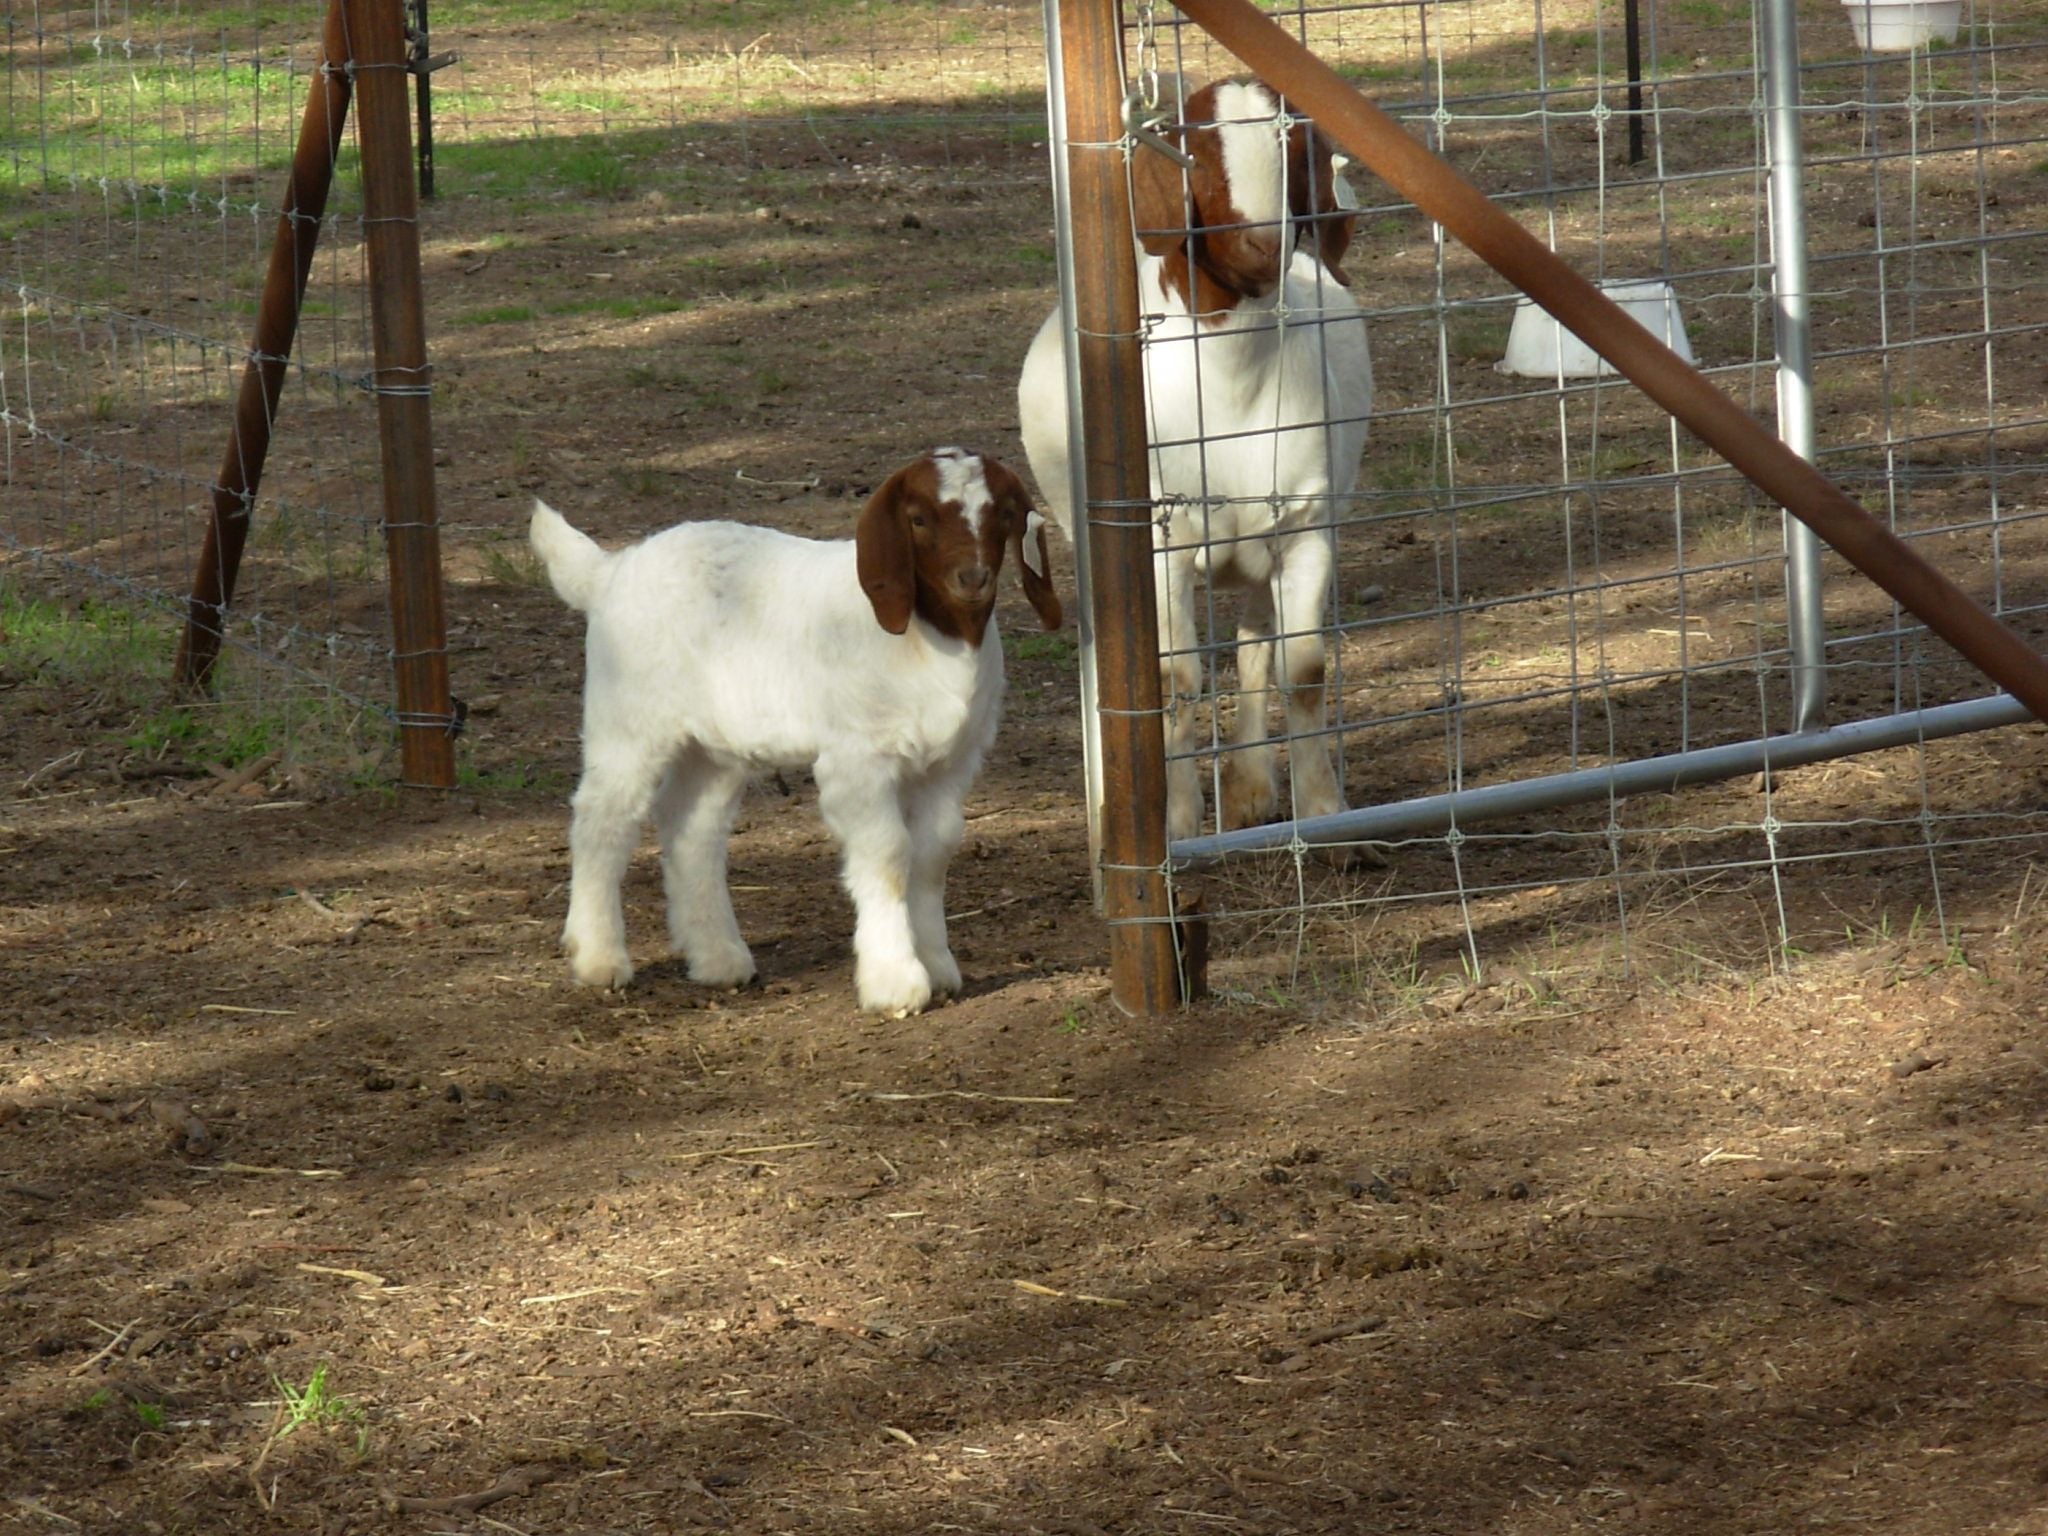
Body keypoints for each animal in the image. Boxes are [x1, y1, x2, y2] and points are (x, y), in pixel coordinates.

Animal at [530, 449, 1062, 1016]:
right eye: (918, 519)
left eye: (1003, 514)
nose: (972, 578)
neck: (928, 636)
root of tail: (612, 571)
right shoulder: (858, 759)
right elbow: (888, 854)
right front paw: (895, 984)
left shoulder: (951, 764)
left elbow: (932, 855)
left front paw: (939, 968)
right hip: (628, 719)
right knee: (602, 820)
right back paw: (599, 959)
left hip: (715, 745)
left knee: (692, 828)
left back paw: (719, 958)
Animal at [1017, 78, 1372, 843]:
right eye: (1199, 157)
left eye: (1296, 152)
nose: (1266, 243)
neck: (1231, 382)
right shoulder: (1160, 547)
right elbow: (1172, 682)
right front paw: (1175, 822)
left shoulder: (1305, 529)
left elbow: (1301, 669)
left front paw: (1326, 816)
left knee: (1253, 646)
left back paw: (1251, 789)